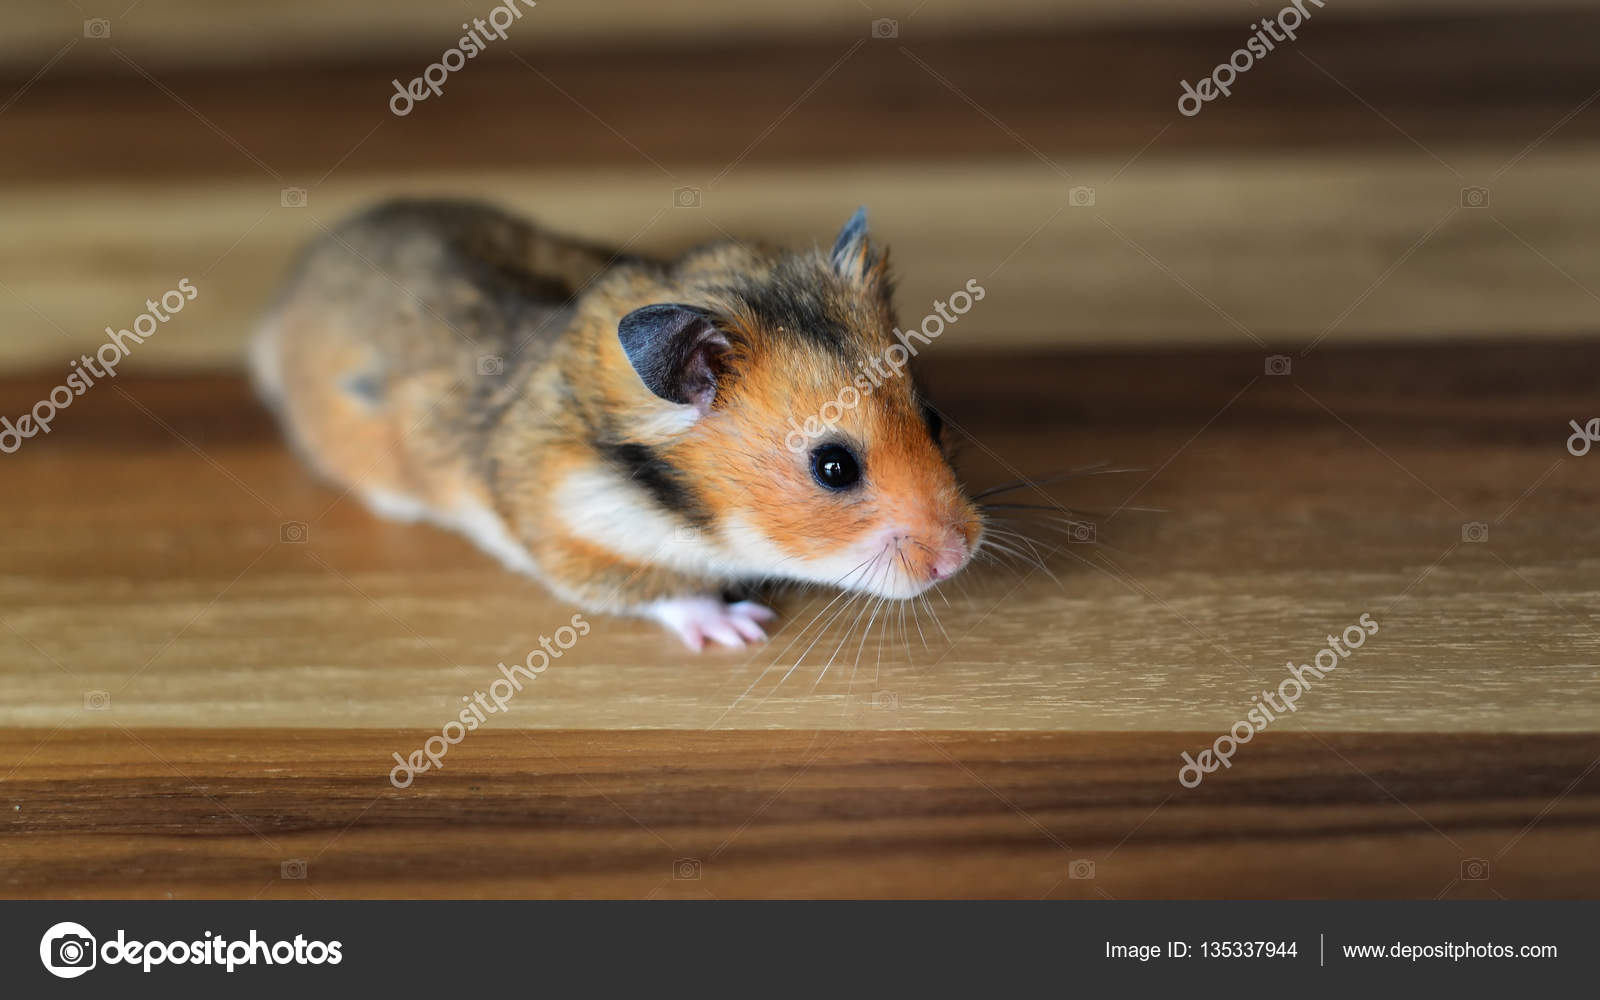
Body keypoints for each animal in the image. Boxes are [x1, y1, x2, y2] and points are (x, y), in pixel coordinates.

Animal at [250, 198, 983, 650]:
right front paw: (743, 627)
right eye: (834, 467)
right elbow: (664, 591)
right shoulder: (573, 537)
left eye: (933, 417)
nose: (958, 558)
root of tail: (287, 298)